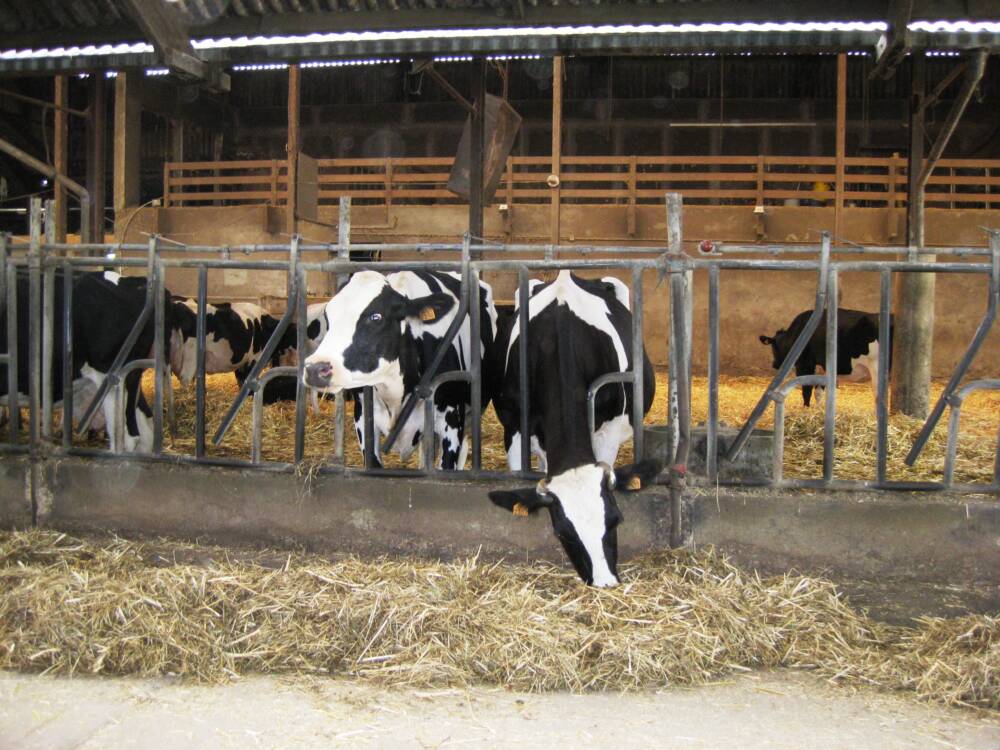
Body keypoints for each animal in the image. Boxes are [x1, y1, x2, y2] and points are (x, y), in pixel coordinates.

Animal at [760, 308, 896, 408]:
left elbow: (806, 390)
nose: (774, 364)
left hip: (876, 366)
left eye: (773, 346)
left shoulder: (805, 364)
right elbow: (819, 392)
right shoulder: (823, 367)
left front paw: (806, 409)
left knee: (879, 396)